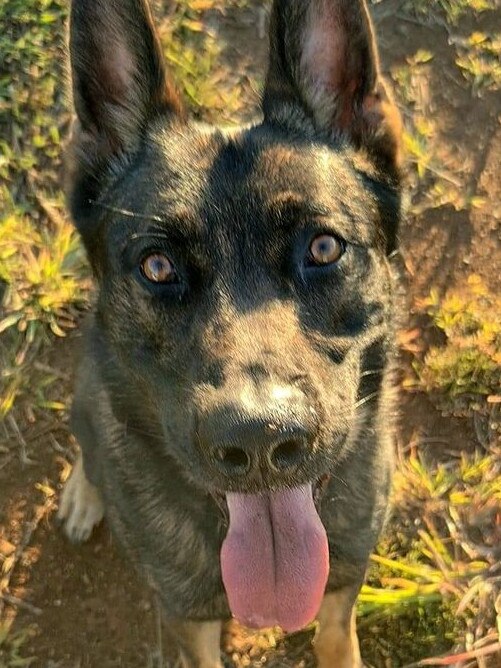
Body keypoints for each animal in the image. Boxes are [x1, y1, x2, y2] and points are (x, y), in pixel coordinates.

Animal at [57, 1, 402, 668]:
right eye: (157, 266)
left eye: (324, 248)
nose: (260, 442)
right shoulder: (186, 620)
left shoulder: (343, 581)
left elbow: (335, 632)